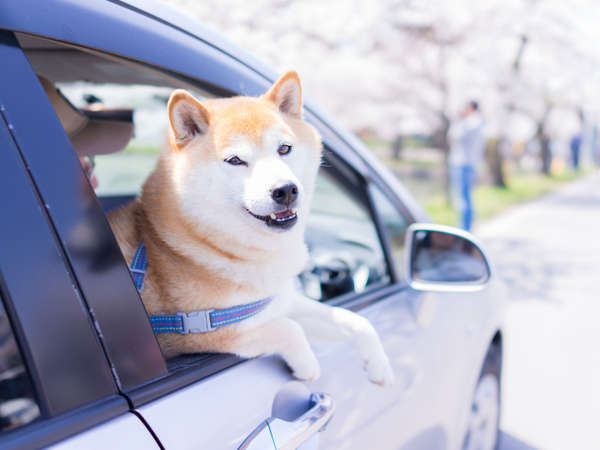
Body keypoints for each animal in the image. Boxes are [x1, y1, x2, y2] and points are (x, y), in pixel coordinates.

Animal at [109, 70, 394, 386]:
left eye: (284, 149)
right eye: (235, 160)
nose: (286, 190)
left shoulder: (279, 301)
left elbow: (355, 321)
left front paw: (379, 366)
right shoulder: (200, 331)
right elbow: (289, 328)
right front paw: (307, 365)